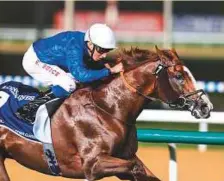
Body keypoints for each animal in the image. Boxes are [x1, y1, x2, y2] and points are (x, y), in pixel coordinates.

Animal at [0, 46, 213, 180]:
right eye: (179, 75)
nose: (206, 106)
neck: (110, 109)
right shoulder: (93, 164)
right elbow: (134, 168)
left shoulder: (127, 157)